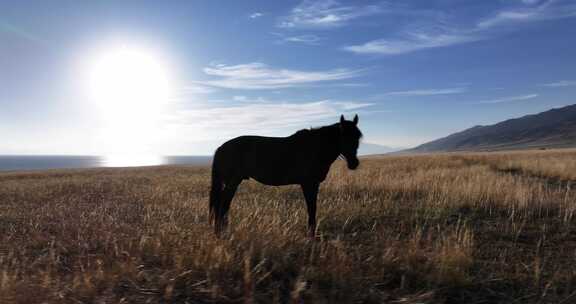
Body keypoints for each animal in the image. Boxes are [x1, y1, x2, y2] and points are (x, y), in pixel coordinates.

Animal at [208, 115, 360, 236]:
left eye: (358, 137)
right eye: (343, 136)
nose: (354, 163)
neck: (314, 147)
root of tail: (221, 148)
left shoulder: (313, 184)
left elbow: (312, 207)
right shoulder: (309, 183)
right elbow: (311, 208)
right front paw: (311, 234)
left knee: (222, 204)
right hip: (233, 181)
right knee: (222, 204)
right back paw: (221, 231)